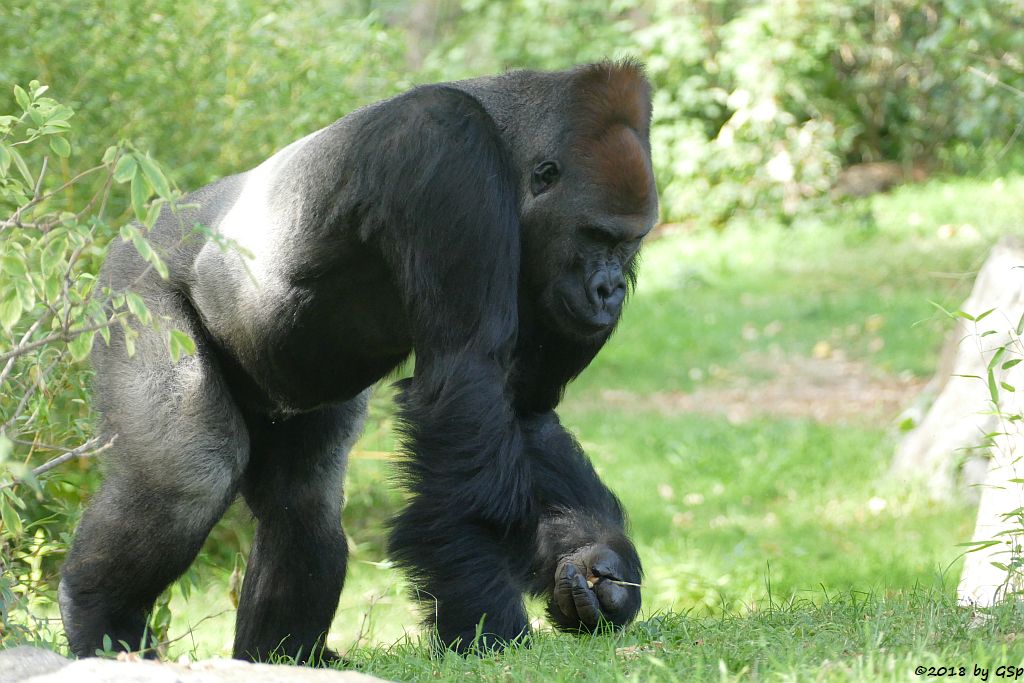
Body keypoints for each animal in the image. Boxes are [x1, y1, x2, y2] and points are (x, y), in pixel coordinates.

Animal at [59, 60, 659, 663]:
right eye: (595, 235)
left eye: (629, 243)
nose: (609, 292)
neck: (507, 145)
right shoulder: (447, 152)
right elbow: (465, 386)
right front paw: (487, 619)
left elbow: (523, 409)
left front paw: (596, 560)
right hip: (129, 291)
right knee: (186, 478)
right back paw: (99, 612)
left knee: (304, 500)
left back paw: (282, 655)